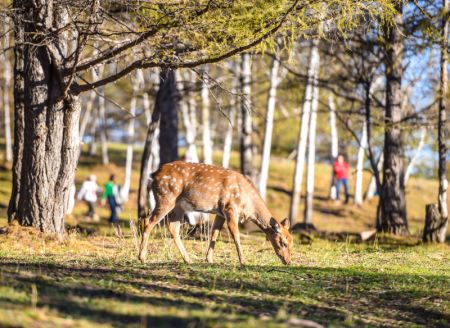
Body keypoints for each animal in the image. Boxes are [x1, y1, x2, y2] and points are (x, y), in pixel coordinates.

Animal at [139, 160, 294, 266]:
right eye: (283, 242)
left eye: (292, 242)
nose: (288, 261)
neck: (247, 204)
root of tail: (153, 175)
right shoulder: (230, 208)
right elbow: (236, 235)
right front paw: (243, 261)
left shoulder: (220, 213)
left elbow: (214, 233)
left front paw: (209, 259)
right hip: (166, 197)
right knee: (148, 221)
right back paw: (142, 257)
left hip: (178, 206)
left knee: (173, 228)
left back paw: (188, 259)